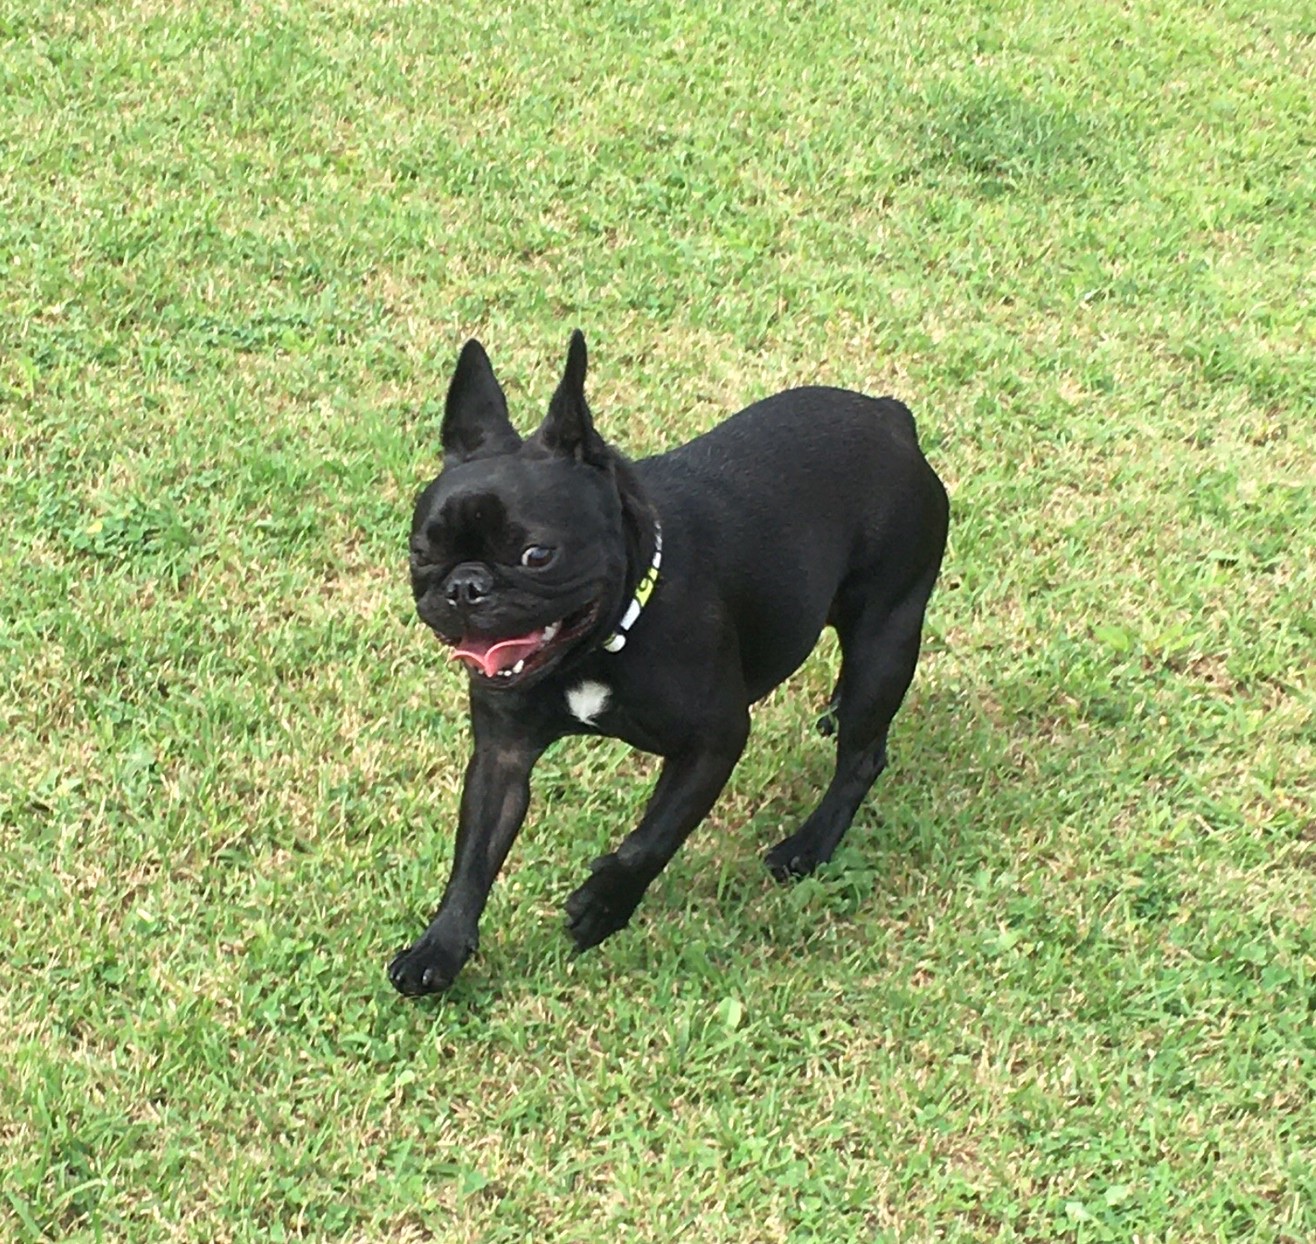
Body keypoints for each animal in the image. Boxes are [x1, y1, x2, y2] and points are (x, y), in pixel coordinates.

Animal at [388, 332, 948, 996]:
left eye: (537, 555)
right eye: (421, 552)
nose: (465, 587)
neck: (603, 642)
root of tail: (892, 417)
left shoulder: (712, 742)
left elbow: (652, 837)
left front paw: (603, 904)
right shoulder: (502, 757)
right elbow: (474, 854)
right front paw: (440, 947)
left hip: (886, 634)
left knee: (863, 757)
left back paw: (808, 846)